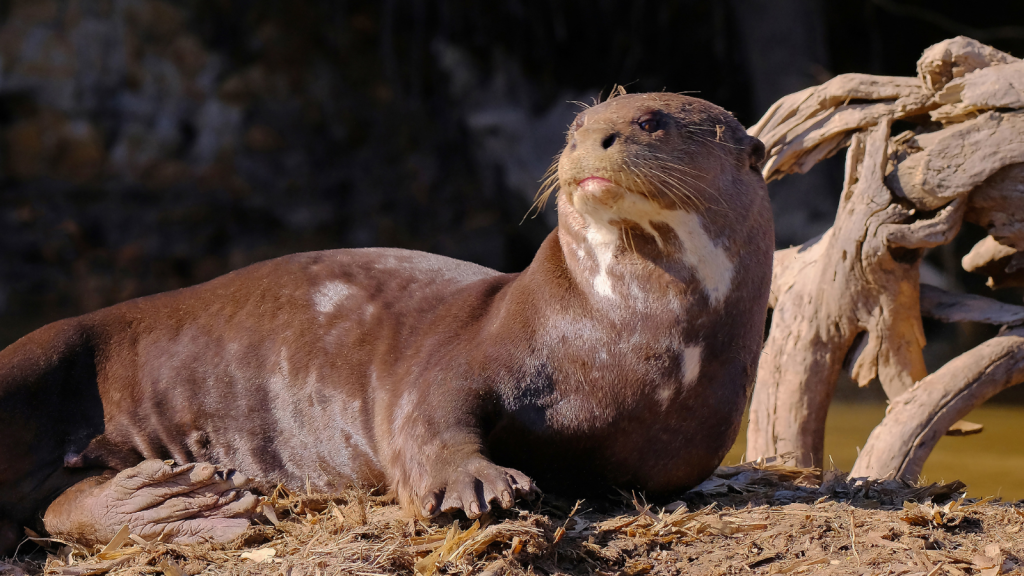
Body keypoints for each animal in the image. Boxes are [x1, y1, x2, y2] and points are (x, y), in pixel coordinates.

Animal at [0, 91, 770, 549]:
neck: (628, 343)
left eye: (650, 122)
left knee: (49, 506)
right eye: (578, 124)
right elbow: (426, 416)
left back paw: (172, 502)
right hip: (35, 356)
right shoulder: (462, 349)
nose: (593, 139)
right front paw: (475, 483)